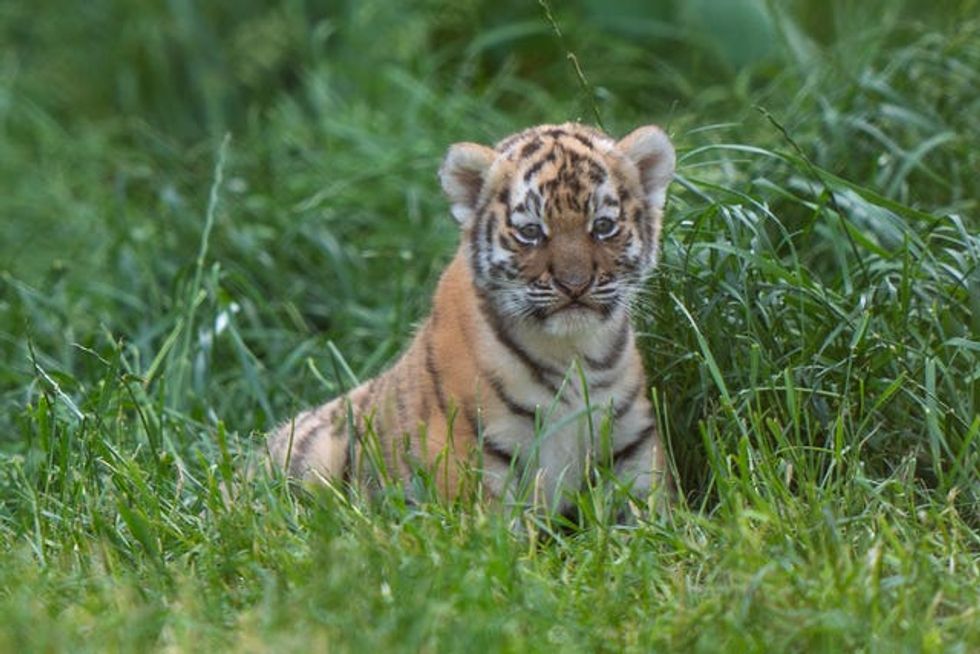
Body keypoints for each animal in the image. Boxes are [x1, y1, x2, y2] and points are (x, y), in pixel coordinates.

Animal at [267, 122, 676, 516]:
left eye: (603, 226)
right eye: (531, 232)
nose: (574, 285)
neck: (572, 350)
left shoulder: (632, 443)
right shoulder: (469, 450)